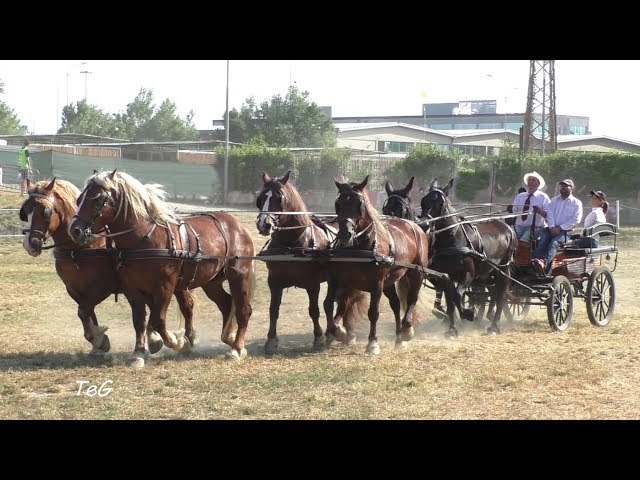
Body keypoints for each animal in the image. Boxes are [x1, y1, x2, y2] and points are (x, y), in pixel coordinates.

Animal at [19, 177, 196, 356]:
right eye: (25, 211)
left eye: (45, 212)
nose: (30, 244)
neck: (79, 249)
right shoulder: (75, 290)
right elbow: (87, 313)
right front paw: (97, 340)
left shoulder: (104, 286)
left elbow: (83, 310)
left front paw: (98, 338)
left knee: (186, 306)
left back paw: (185, 338)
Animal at [68, 170, 256, 366]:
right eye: (79, 199)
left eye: (97, 200)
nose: (75, 230)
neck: (144, 238)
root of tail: (237, 226)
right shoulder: (131, 288)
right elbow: (139, 321)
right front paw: (139, 353)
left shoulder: (165, 286)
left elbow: (158, 320)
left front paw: (178, 342)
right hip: (211, 282)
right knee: (226, 303)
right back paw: (229, 337)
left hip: (239, 275)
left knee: (243, 310)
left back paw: (237, 348)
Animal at [326, 175, 437, 354]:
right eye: (338, 204)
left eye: (360, 204)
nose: (345, 234)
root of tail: (414, 226)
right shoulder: (341, 280)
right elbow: (332, 305)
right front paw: (339, 331)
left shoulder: (376, 283)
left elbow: (373, 312)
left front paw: (372, 343)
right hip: (389, 281)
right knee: (396, 304)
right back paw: (398, 338)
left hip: (416, 273)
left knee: (412, 299)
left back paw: (406, 330)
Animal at [418, 177, 517, 335]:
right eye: (423, 201)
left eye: (441, 204)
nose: (424, 224)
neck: (453, 239)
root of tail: (508, 229)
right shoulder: (445, 277)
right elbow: (450, 302)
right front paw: (452, 329)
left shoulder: (468, 274)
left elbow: (457, 295)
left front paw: (470, 313)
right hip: (486, 274)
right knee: (493, 292)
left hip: (503, 269)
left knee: (501, 295)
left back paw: (494, 326)